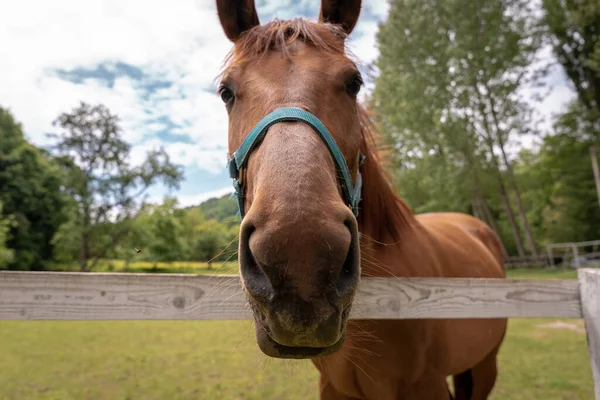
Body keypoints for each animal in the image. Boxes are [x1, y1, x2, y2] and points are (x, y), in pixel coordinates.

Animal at [216, 1, 506, 398]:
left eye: (353, 82)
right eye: (226, 92)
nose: (300, 255)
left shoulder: (427, 385)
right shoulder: (333, 388)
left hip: (484, 366)